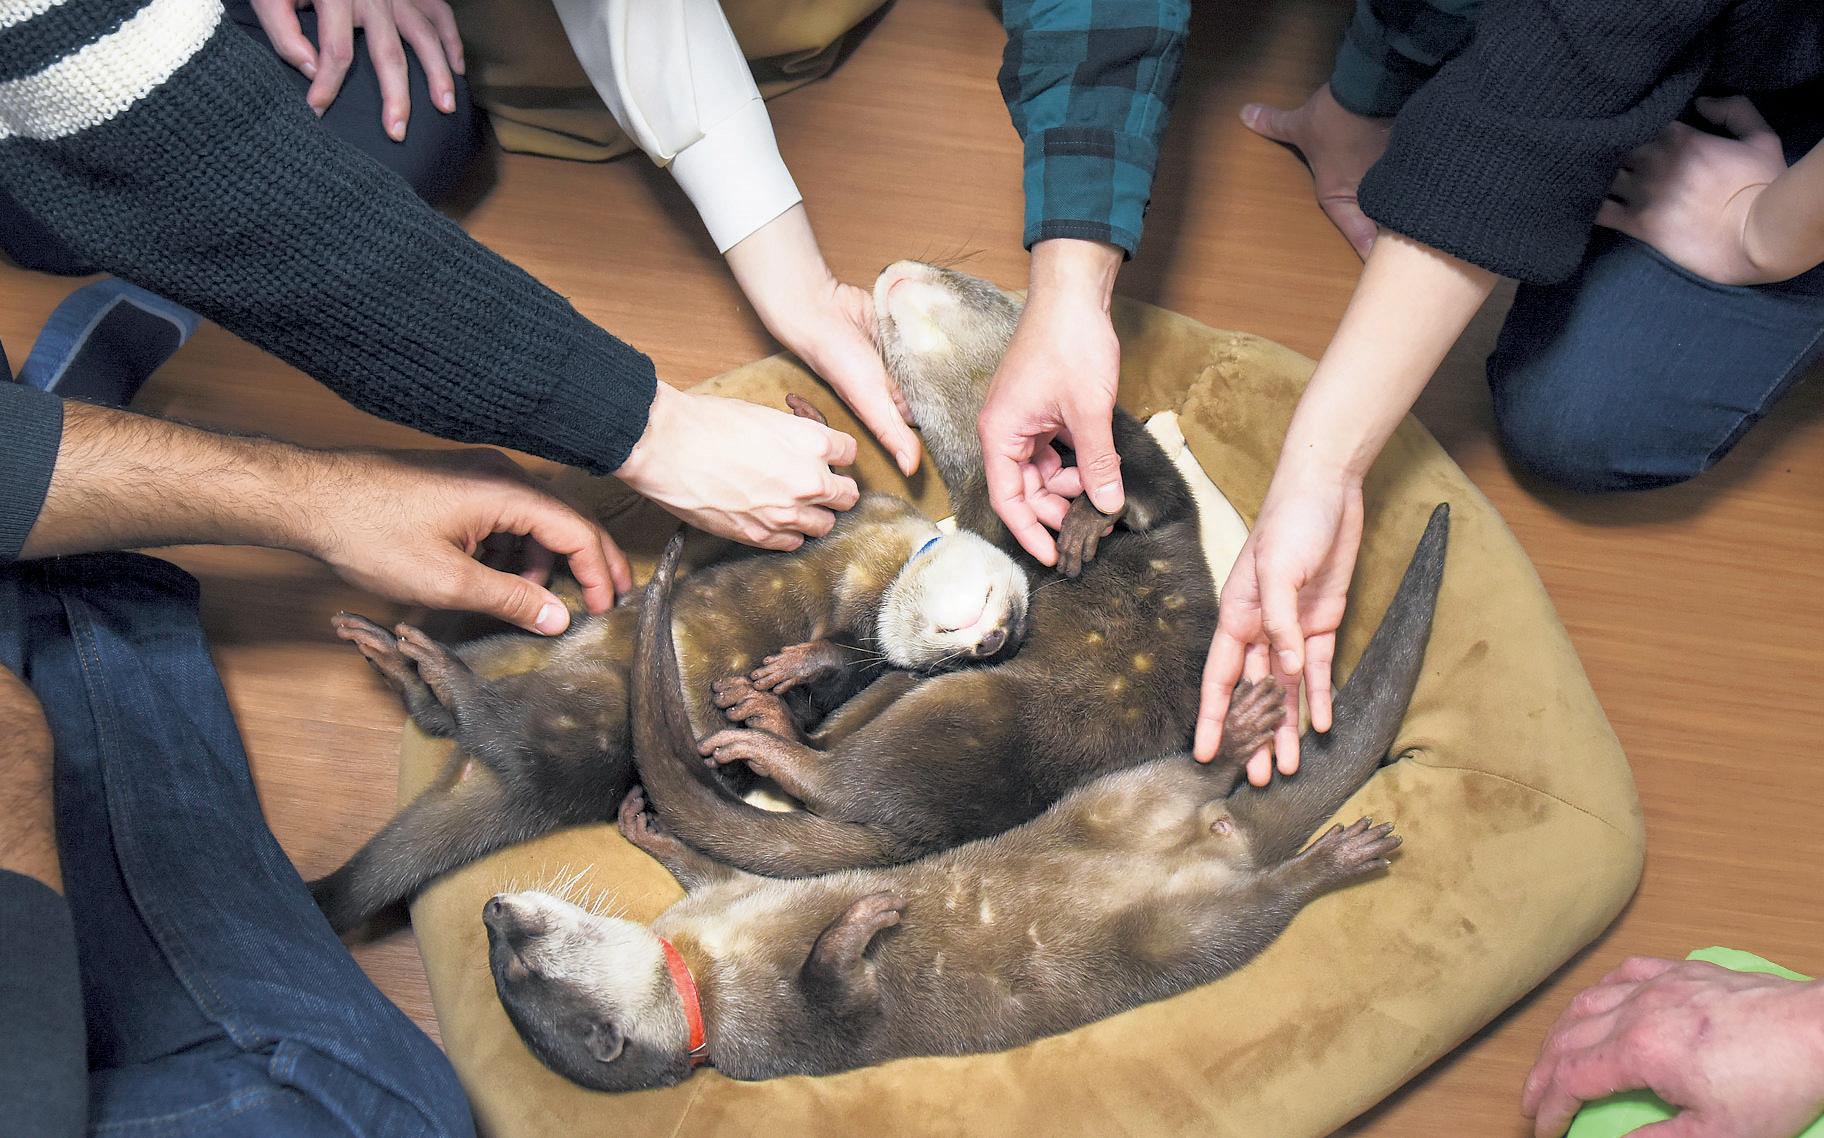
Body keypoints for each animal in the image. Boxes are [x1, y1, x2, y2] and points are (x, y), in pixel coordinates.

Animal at [310, 490, 1031, 933]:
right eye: (1007, 604)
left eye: (1011, 624)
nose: (992, 641)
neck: (882, 552)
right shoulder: (865, 513)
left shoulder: (862, 646)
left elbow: (844, 662)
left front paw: (791, 670)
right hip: (520, 646)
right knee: (443, 713)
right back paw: (391, 652)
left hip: (586, 713)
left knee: (484, 722)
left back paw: (434, 666)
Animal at [627, 261, 1221, 876]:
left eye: (973, 282)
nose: (892, 271)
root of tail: (918, 837)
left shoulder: (1137, 450)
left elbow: (1144, 492)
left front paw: (1083, 518)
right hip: (951, 711)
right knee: (833, 771)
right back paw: (769, 725)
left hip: (970, 716)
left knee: (833, 776)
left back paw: (767, 733)